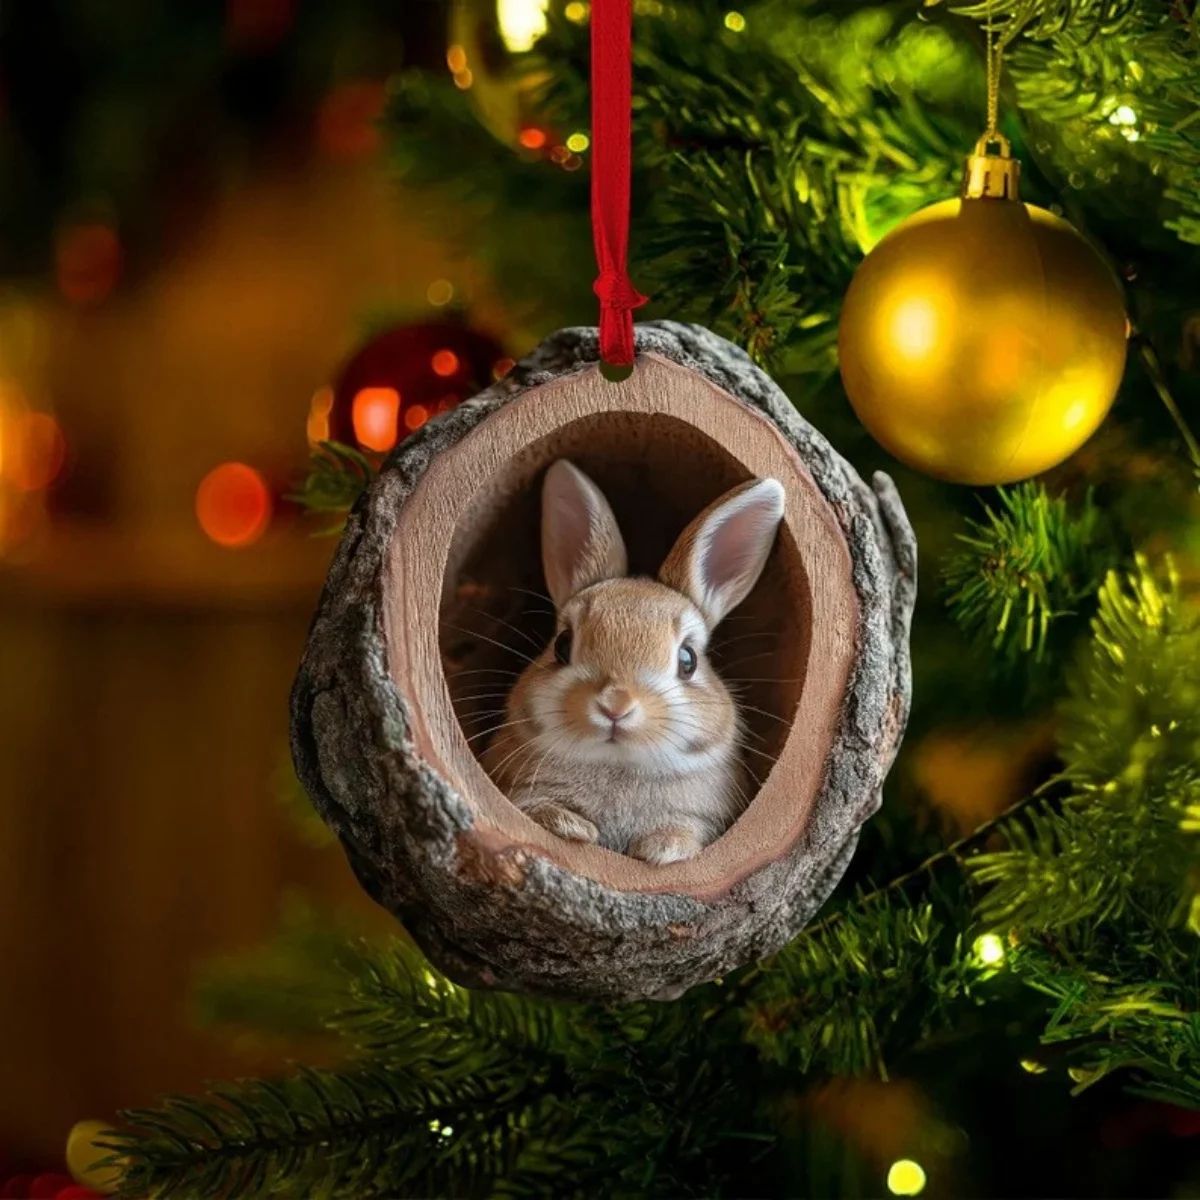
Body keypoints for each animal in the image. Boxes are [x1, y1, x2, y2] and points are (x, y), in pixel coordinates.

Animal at [481, 459, 786, 865]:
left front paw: (663, 848)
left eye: (688, 660)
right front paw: (572, 827)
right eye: (563, 645)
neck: (617, 763)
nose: (615, 705)